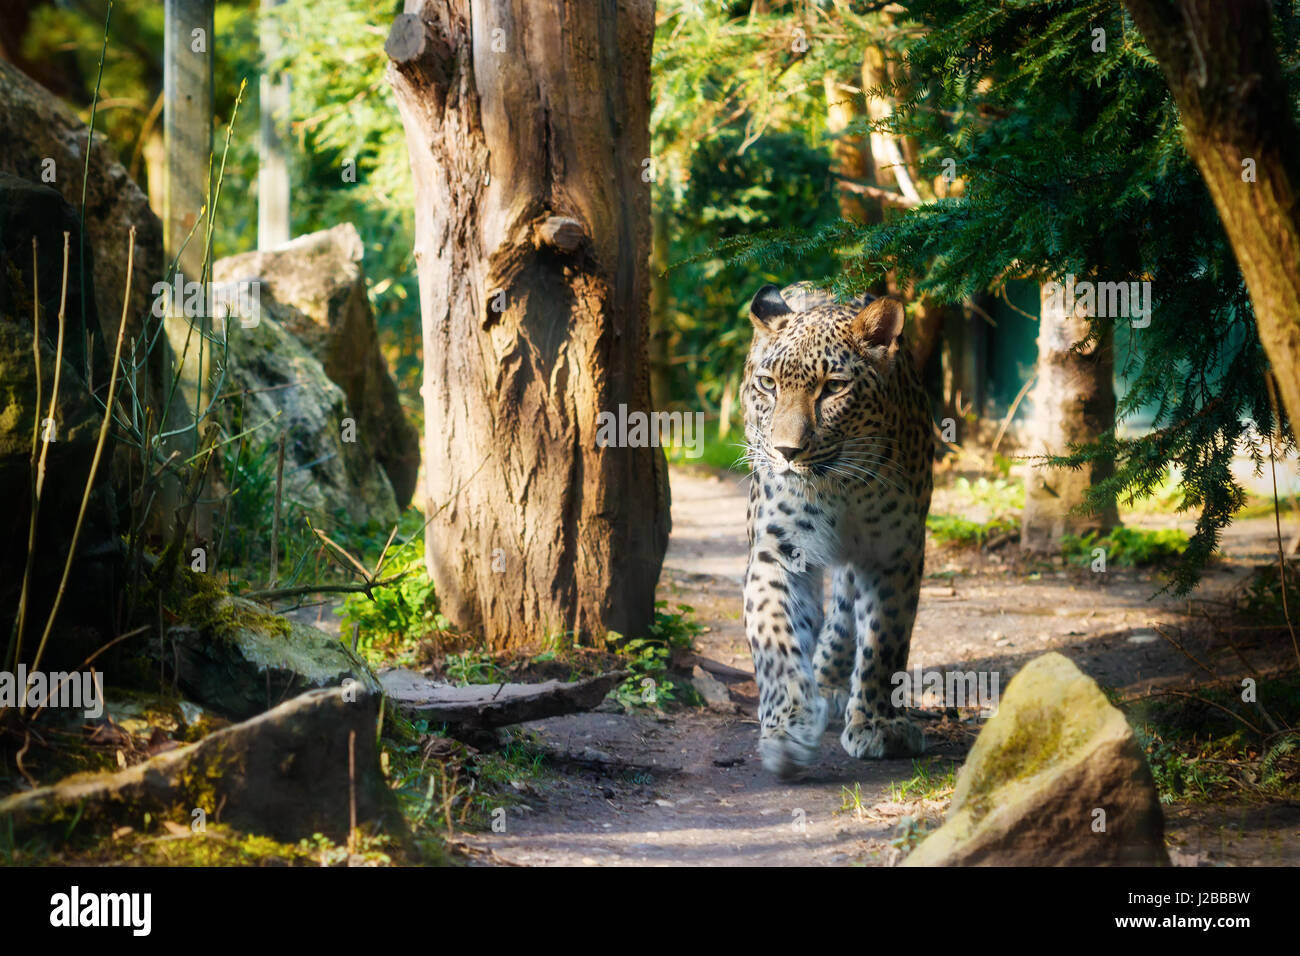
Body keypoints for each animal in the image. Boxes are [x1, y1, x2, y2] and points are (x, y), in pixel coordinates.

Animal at [740, 281, 934, 779]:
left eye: (834, 388)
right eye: (768, 384)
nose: (785, 452)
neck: (839, 487)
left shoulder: (895, 553)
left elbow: (885, 641)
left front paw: (880, 724)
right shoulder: (777, 551)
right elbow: (775, 634)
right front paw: (789, 728)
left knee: (846, 607)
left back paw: (830, 678)